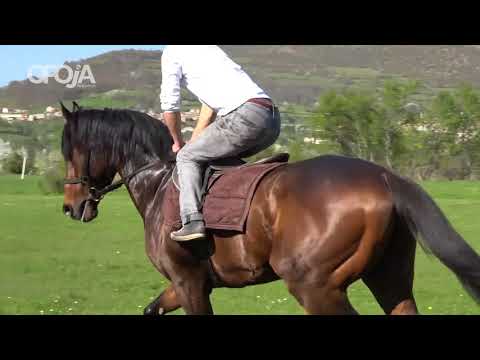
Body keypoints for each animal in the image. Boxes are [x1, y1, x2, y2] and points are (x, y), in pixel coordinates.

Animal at [60, 102, 480, 314]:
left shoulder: (188, 281)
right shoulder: (187, 284)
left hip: (316, 286)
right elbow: (151, 310)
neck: (160, 180)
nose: (70, 206)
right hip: (389, 277)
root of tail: (383, 177)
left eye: (70, 151)